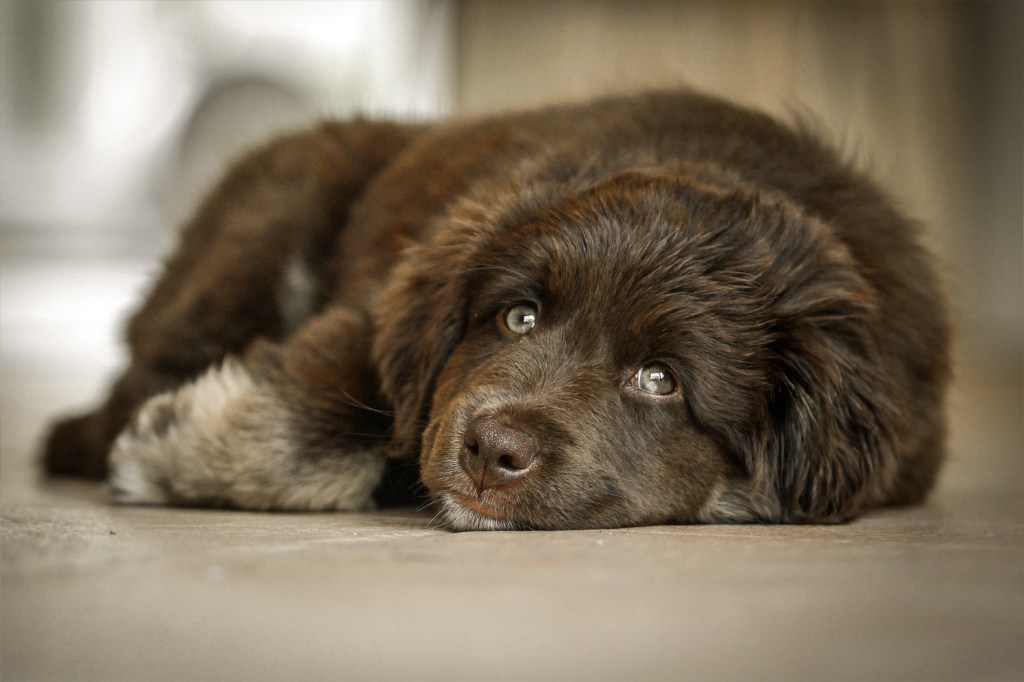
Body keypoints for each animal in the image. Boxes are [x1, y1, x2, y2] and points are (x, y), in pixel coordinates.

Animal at [39, 90, 950, 528]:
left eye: (661, 380)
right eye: (518, 318)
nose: (489, 451)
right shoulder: (382, 300)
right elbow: (349, 386)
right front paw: (179, 449)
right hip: (261, 228)